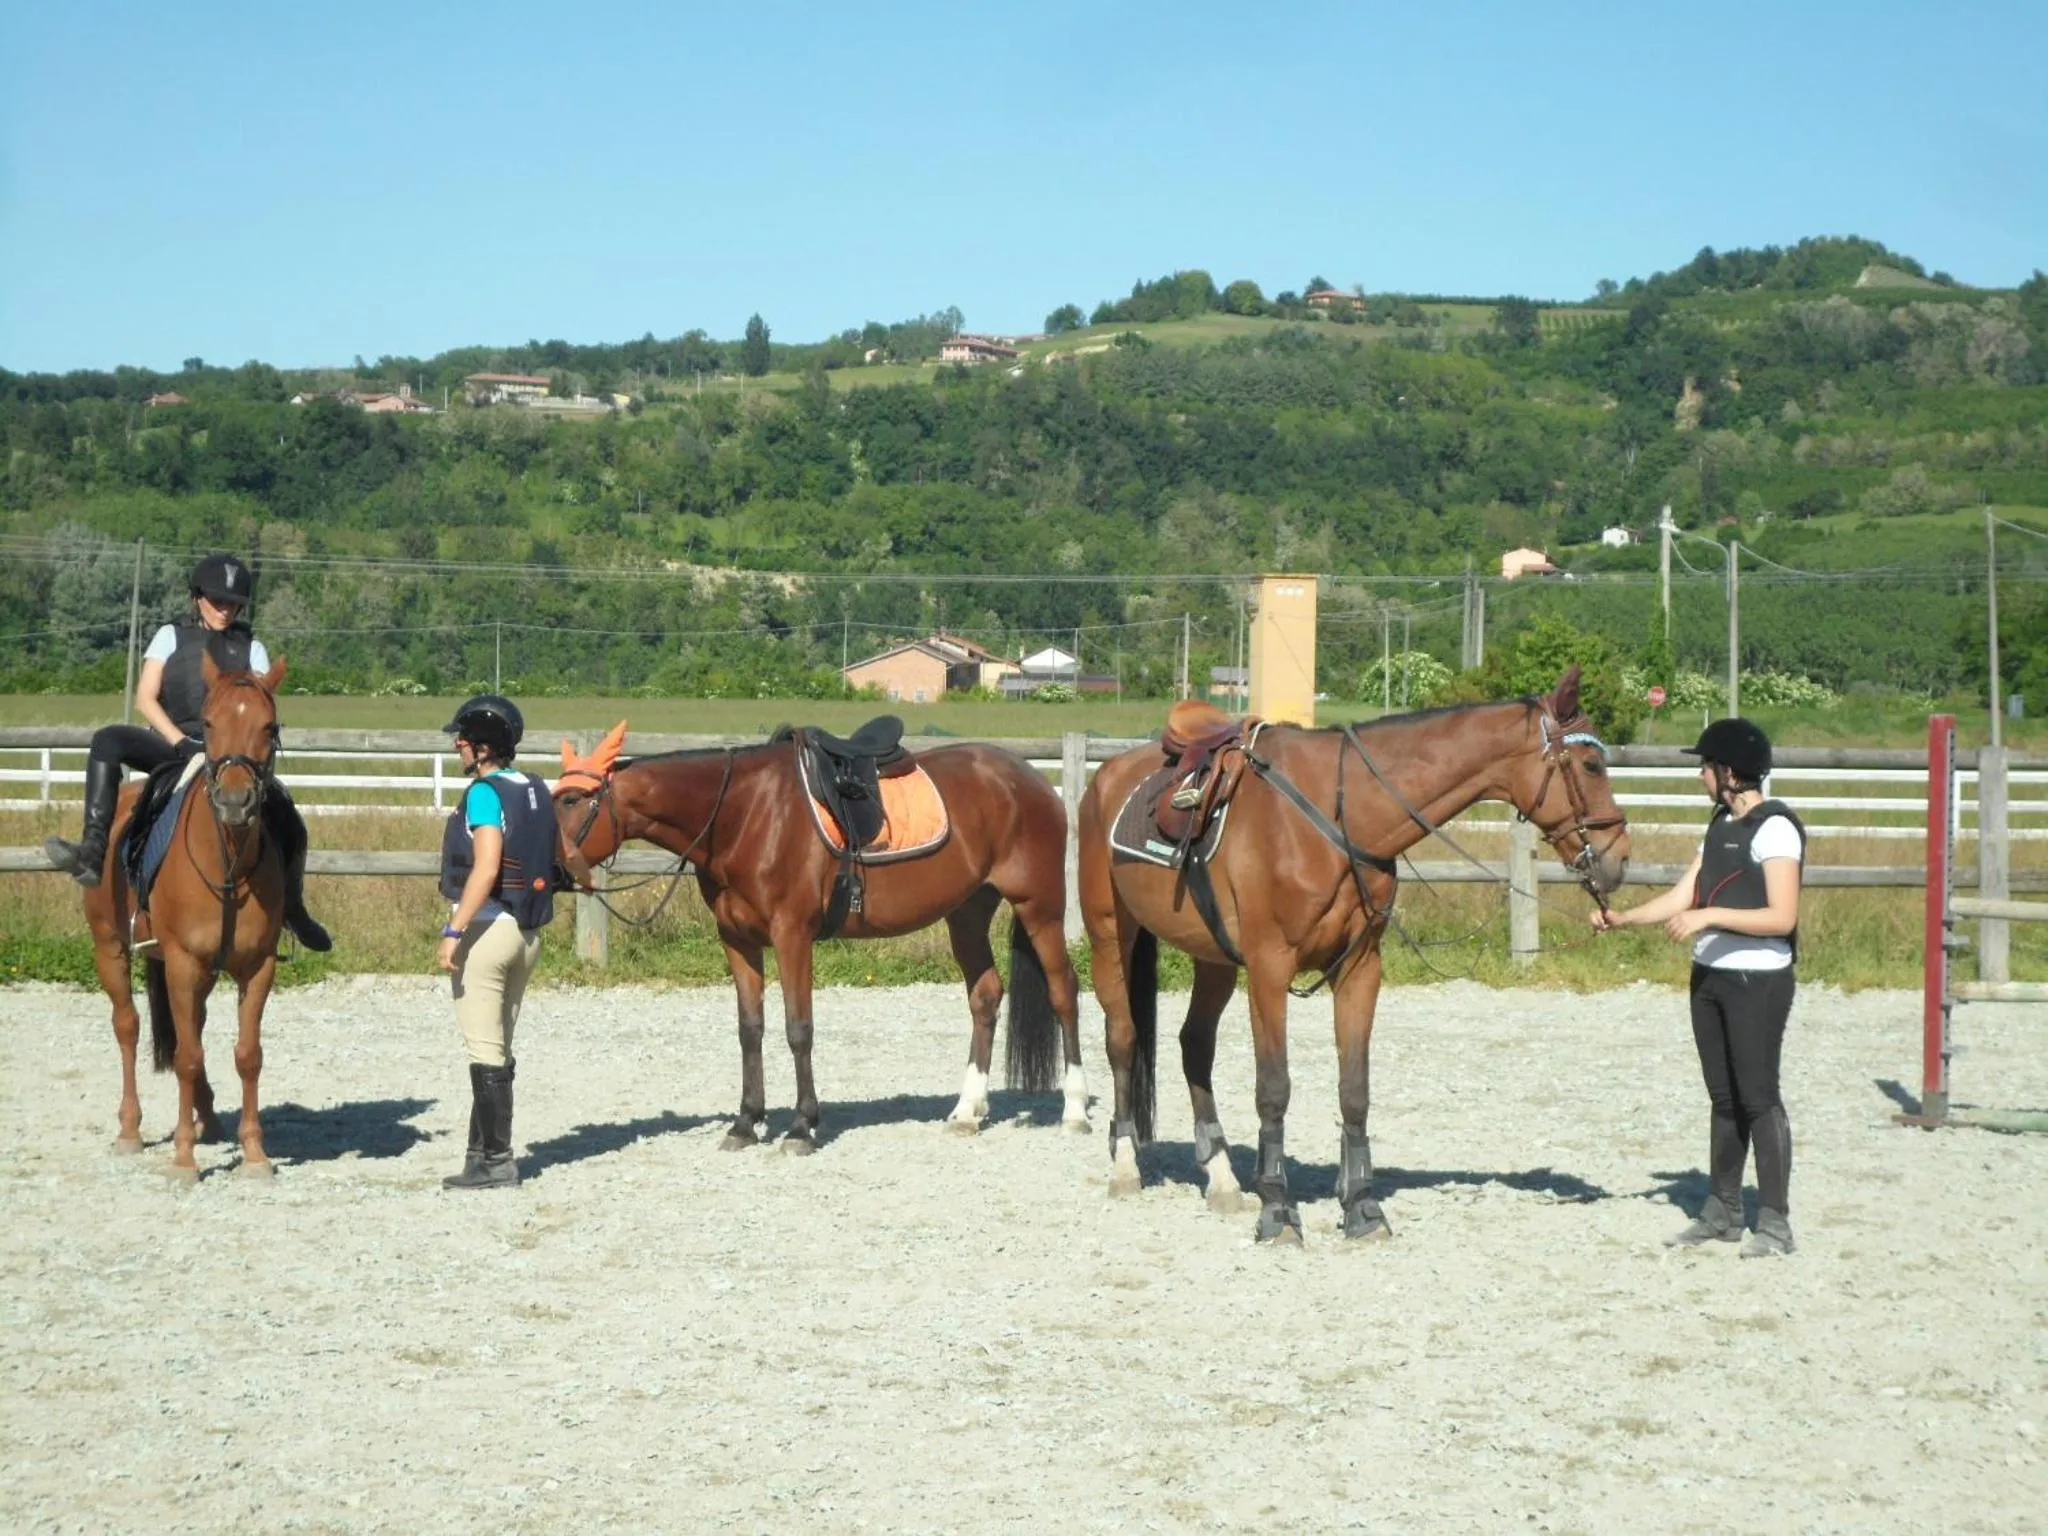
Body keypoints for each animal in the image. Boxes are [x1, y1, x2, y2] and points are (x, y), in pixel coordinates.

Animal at [80, 653, 292, 1181]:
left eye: (269, 725)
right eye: (209, 723)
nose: (235, 802)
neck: (228, 861)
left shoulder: (257, 966)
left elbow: (247, 1055)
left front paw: (254, 1154)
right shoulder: (180, 962)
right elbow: (186, 1056)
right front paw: (182, 1159)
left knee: (190, 1026)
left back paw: (207, 1117)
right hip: (110, 946)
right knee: (128, 1026)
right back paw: (130, 1130)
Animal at [552, 721, 1090, 1150]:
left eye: (574, 800)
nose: (551, 867)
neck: (743, 814)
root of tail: (1030, 778)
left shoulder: (792, 935)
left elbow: (798, 1029)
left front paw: (801, 1127)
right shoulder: (737, 939)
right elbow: (750, 1030)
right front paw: (745, 1123)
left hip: (1040, 906)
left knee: (1064, 991)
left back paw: (1075, 1110)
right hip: (968, 912)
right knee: (985, 996)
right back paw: (966, 1112)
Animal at [1076, 665, 1630, 1244]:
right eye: (1591, 764)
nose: (1619, 858)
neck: (1338, 816)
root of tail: (1108, 774)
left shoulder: (1361, 968)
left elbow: (1355, 1089)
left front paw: (1363, 1207)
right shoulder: (1270, 968)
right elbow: (1274, 1087)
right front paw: (1278, 1211)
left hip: (1214, 959)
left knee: (1194, 1045)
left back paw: (1223, 1179)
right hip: (1110, 932)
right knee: (1123, 1038)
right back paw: (1125, 1168)